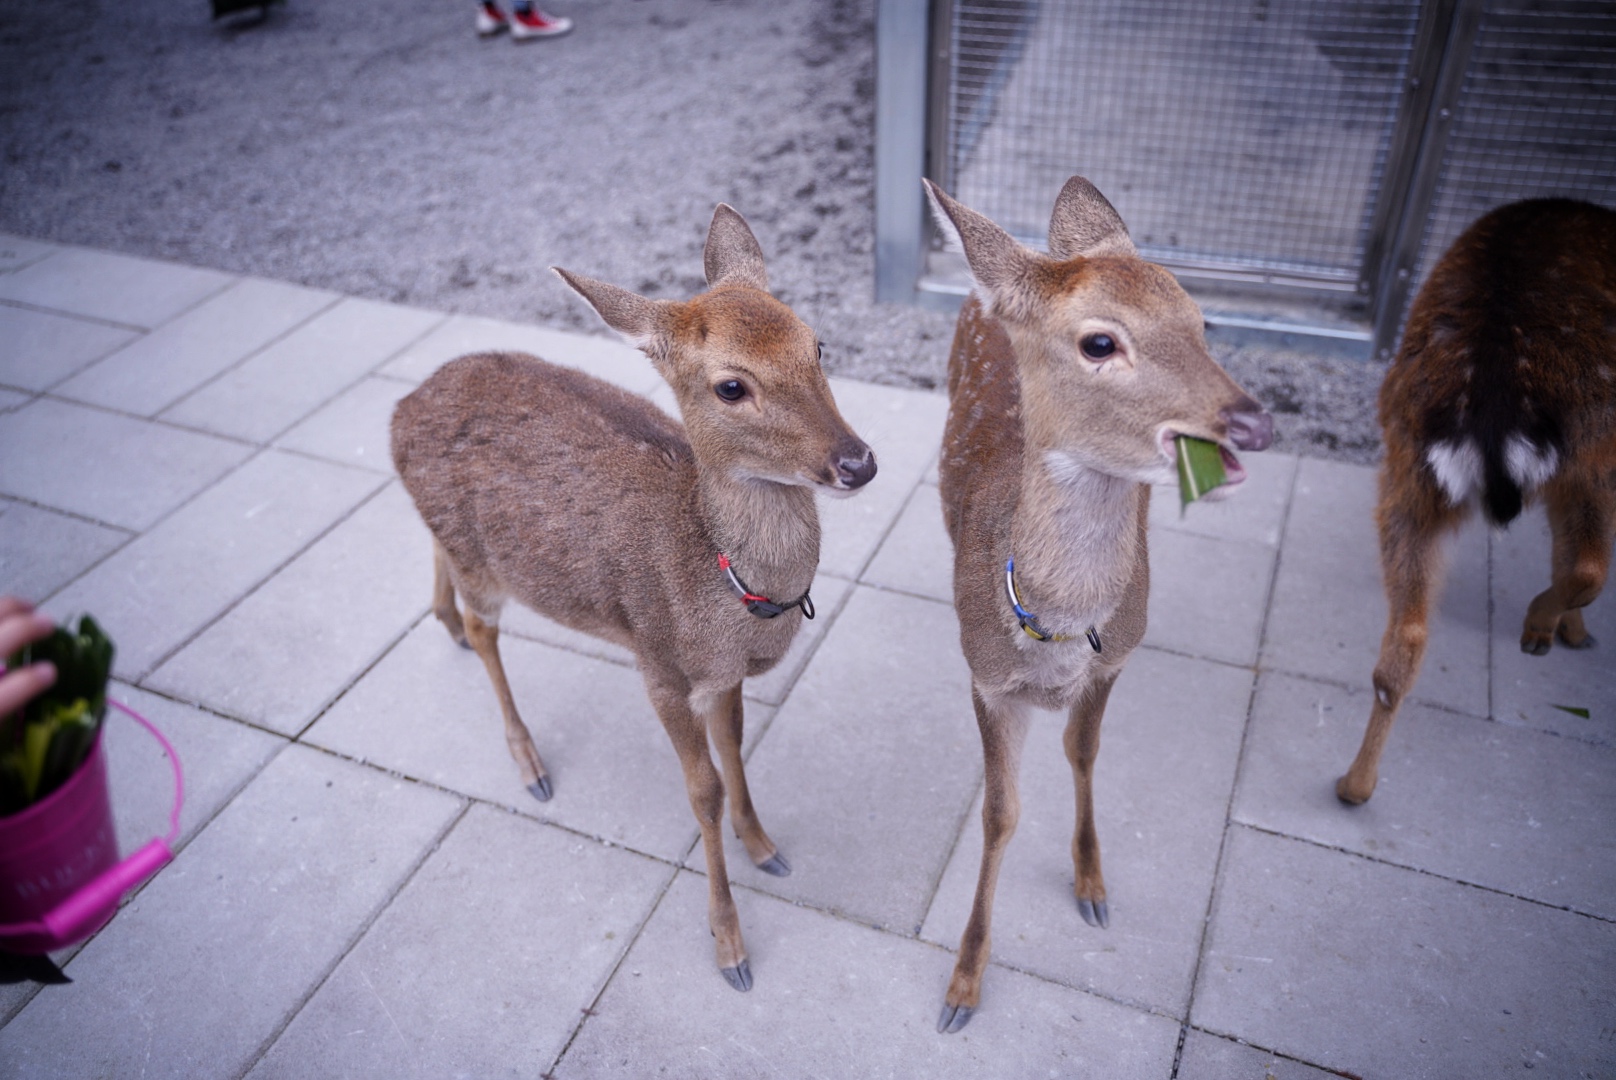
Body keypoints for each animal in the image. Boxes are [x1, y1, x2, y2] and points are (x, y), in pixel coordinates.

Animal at [386, 202, 879, 989]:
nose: (857, 462)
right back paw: (529, 763)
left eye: (818, 343)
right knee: (488, 628)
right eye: (731, 386)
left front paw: (766, 847)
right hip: (484, 565)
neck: (726, 594)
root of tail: (401, 405)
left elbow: (736, 749)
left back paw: (446, 624)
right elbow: (702, 790)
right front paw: (730, 946)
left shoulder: (723, 675)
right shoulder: (659, 661)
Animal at [924, 177, 1273, 1028]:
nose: (1253, 420)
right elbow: (1000, 813)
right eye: (1099, 344)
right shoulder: (986, 677)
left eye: (1202, 320)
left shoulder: (1120, 654)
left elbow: (1084, 753)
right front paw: (963, 983)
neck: (1056, 626)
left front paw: (1091, 884)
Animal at [1338, 198, 1616, 805]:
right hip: (1593, 443)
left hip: (1415, 469)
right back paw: (1538, 630)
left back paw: (1353, 786)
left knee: (1405, 642)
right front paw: (1570, 633)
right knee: (1590, 564)